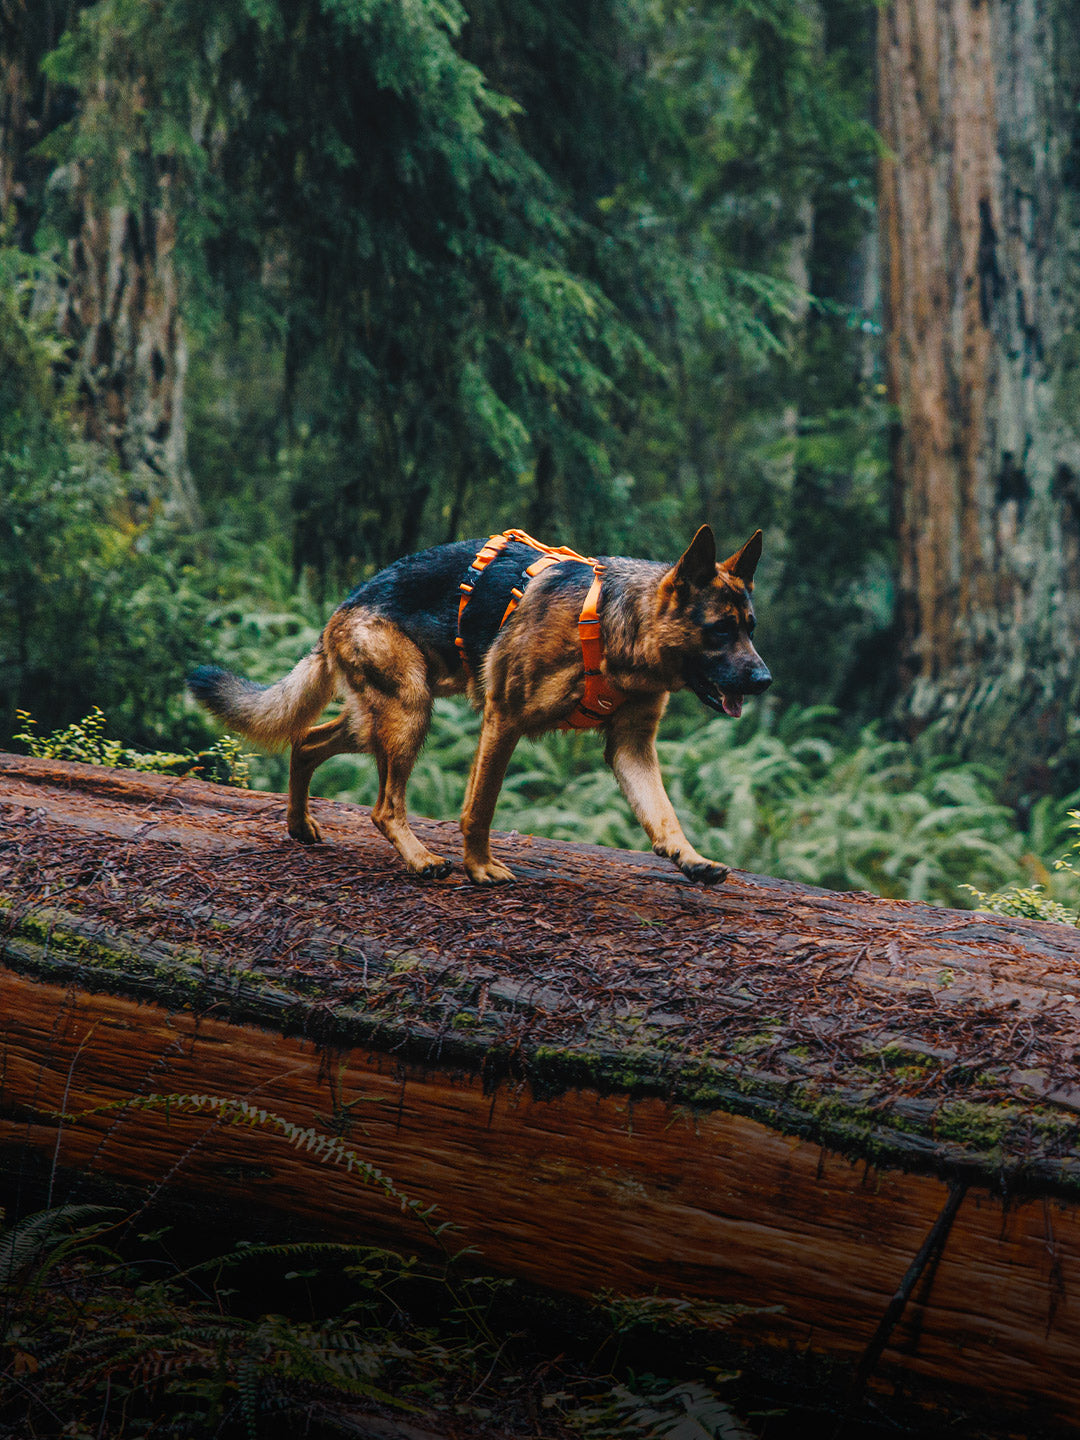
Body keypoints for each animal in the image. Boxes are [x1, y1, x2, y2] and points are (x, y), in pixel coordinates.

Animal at [190, 527, 771, 881]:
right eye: (721, 630)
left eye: (751, 628)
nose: (765, 679)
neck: (614, 631)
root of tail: (346, 603)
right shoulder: (504, 720)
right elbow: (480, 807)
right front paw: (479, 868)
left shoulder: (631, 748)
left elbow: (664, 814)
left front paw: (690, 858)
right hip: (408, 713)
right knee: (384, 806)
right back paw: (420, 859)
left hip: (381, 718)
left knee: (307, 741)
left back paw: (299, 824)